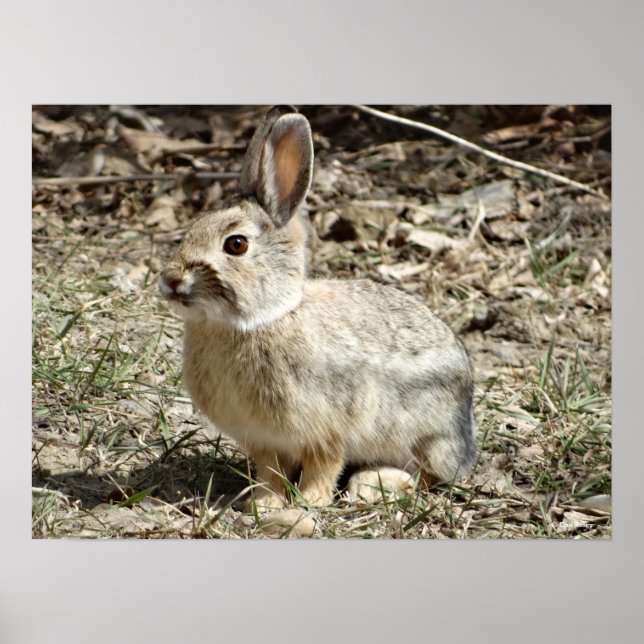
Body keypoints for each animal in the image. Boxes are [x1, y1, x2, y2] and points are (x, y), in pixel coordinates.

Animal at [159, 106, 476, 510]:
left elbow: (324, 465)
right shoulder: (264, 440)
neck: (261, 319)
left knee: (429, 476)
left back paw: (379, 483)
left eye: (235, 245)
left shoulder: (328, 429)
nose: (170, 279)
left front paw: (310, 502)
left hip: (425, 435)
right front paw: (263, 504)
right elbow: (271, 472)